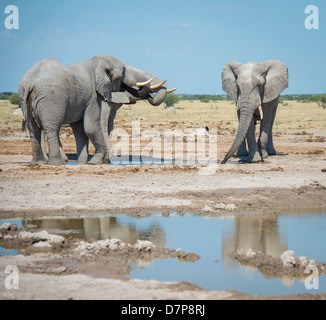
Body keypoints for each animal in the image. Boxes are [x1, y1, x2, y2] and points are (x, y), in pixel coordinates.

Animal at [17, 55, 176, 165]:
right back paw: (58, 162)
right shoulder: (95, 96)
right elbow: (93, 126)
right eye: (124, 70)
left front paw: (85, 161)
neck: (96, 62)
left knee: (34, 128)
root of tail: (29, 82)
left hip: (24, 98)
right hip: (51, 100)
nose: (148, 92)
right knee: (50, 128)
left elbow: (84, 128)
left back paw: (40, 162)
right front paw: (100, 160)